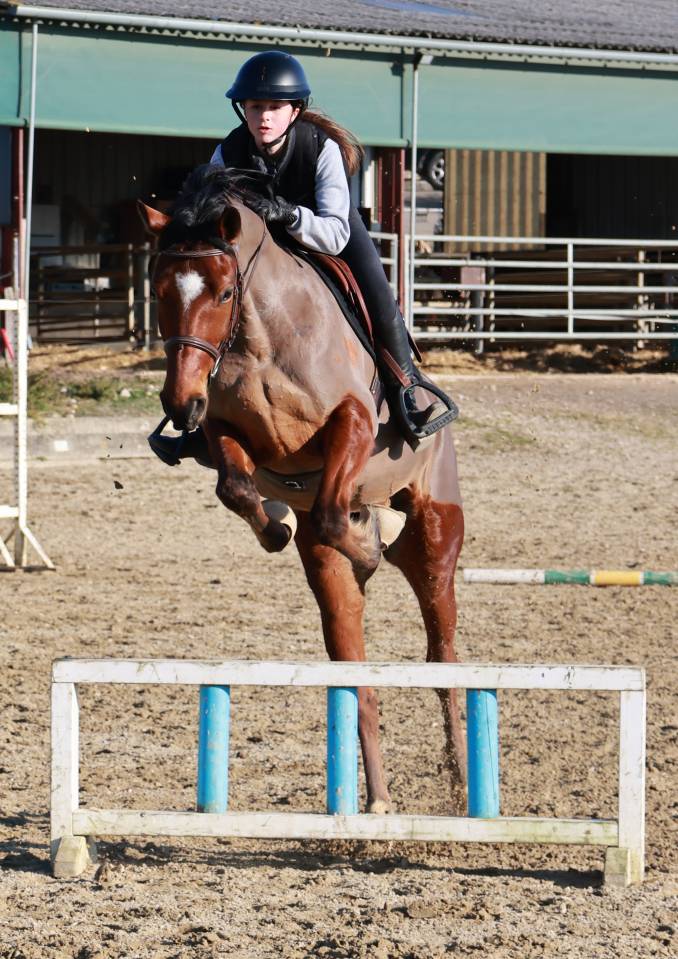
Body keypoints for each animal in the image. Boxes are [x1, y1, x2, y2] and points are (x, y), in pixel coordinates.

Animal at [138, 165, 466, 813]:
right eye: (160, 290)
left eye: (223, 293)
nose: (179, 404)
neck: (261, 343)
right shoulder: (224, 431)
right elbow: (238, 489)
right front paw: (278, 525)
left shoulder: (354, 421)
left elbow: (337, 502)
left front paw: (363, 540)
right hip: (332, 585)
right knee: (356, 674)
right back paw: (377, 802)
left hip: (436, 540)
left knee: (444, 657)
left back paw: (465, 786)